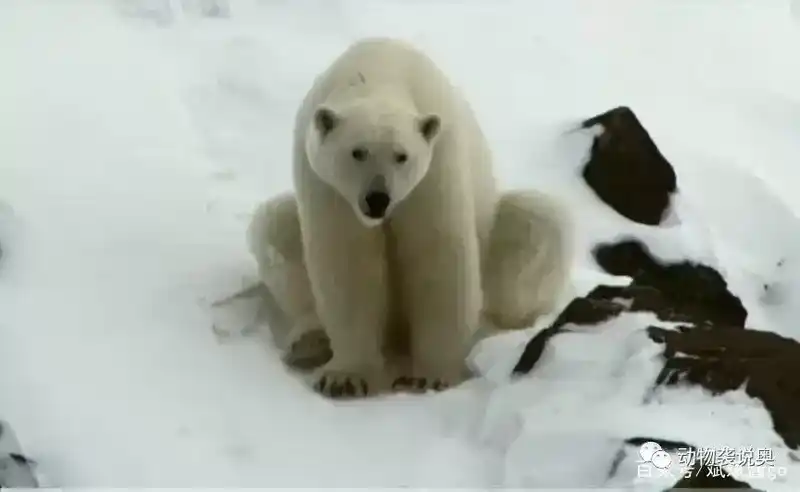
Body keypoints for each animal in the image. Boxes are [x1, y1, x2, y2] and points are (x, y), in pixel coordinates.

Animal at [247, 38, 572, 400]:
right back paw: (309, 342)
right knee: (273, 224)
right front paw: (344, 378)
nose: (378, 198)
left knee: (539, 222)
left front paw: (431, 376)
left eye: (401, 156)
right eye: (357, 152)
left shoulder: (435, 169)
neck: (378, 71)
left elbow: (438, 256)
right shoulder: (325, 184)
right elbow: (347, 261)